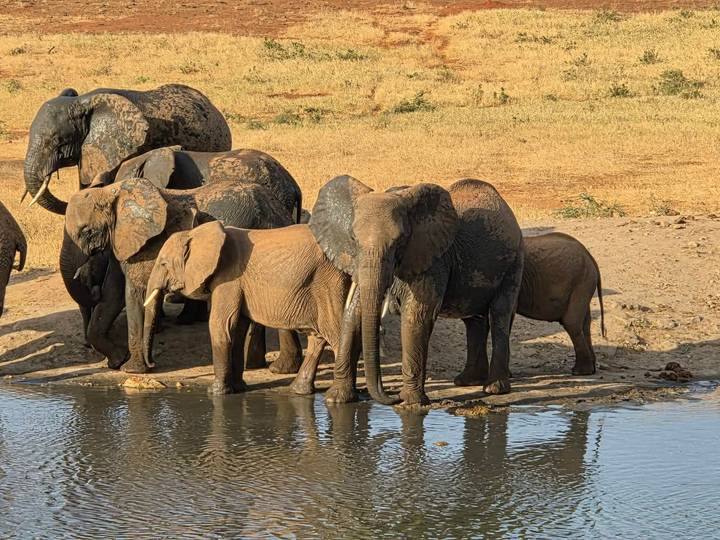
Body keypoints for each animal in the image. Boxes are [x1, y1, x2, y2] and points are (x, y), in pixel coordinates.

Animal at [142, 221, 356, 395]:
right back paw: (300, 390)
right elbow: (237, 328)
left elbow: (221, 325)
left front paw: (216, 392)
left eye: (163, 264)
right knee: (317, 336)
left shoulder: (229, 278)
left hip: (327, 282)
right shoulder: (236, 283)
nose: (152, 363)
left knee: (335, 333)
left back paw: (339, 397)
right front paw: (239, 388)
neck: (196, 232)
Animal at [310, 177, 523, 406]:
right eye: (352, 239)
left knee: (500, 314)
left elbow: (416, 317)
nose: (391, 396)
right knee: (474, 320)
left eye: (400, 241)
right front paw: (336, 400)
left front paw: (410, 402)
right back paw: (467, 381)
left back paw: (494, 388)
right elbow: (353, 315)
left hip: (514, 262)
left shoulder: (434, 259)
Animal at [518, 232, 605, 375]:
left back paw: (580, 372)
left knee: (571, 322)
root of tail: (591, 258)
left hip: (582, 281)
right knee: (585, 323)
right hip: (584, 282)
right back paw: (590, 369)